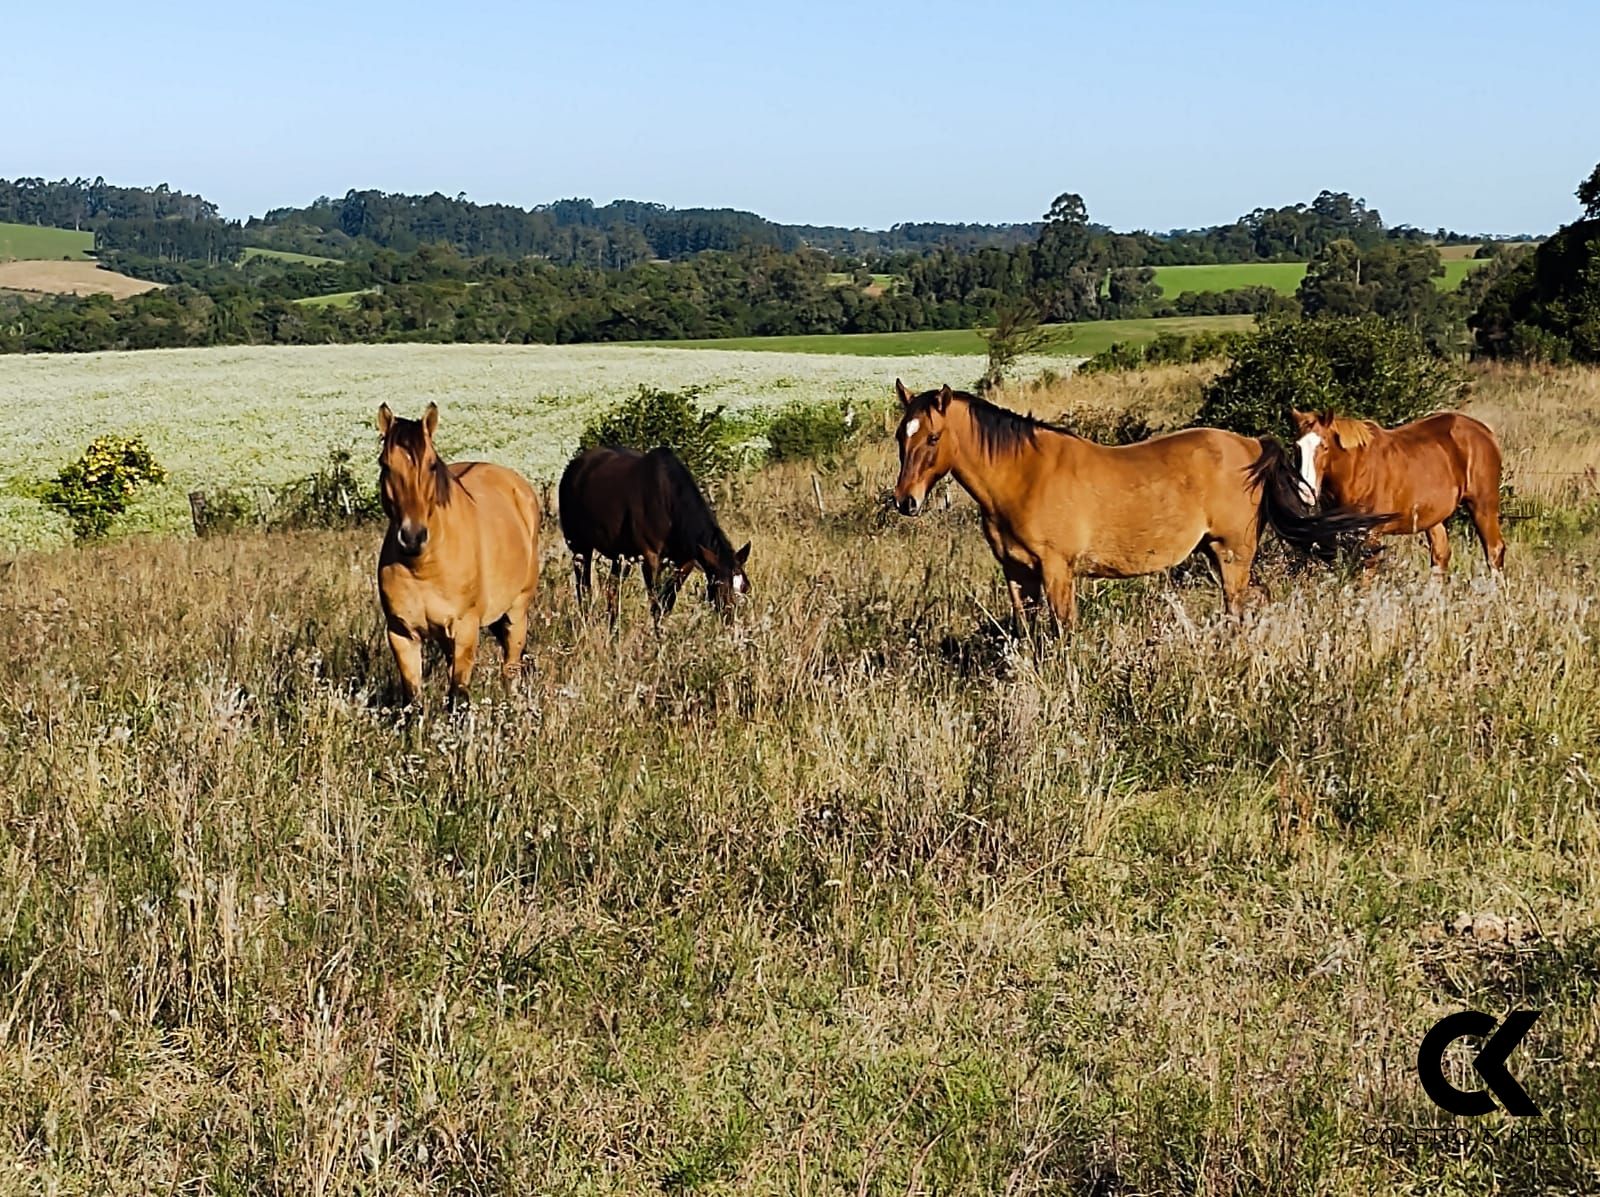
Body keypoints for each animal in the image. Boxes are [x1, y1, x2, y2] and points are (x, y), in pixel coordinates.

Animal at [374, 404, 544, 700]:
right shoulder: (402, 634)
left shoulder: (465, 629)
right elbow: (413, 699)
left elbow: (458, 696)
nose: (412, 537)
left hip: (516, 612)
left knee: (510, 670)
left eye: (432, 465)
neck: (423, 566)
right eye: (385, 464)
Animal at [560, 444, 752, 620]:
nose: (732, 619)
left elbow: (667, 603)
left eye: (745, 587)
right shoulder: (650, 559)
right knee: (584, 588)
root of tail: (574, 466)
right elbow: (656, 605)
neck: (668, 501)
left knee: (612, 590)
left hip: (621, 556)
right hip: (579, 546)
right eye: (721, 587)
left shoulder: (684, 563)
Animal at [896, 380, 1382, 627]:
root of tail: (1252, 445)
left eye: (933, 437)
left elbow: (1062, 632)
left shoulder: (1057, 571)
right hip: (1217, 552)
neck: (1024, 475)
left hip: (1234, 553)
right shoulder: (1017, 573)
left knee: (1238, 606)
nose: (906, 501)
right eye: (902, 434)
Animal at [1292, 409, 1504, 576]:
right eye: (1297, 446)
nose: (1306, 492)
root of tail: (1486, 432)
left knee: (1494, 552)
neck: (1356, 471)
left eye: (1324, 446)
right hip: (1434, 517)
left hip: (1482, 506)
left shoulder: (1371, 534)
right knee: (1440, 556)